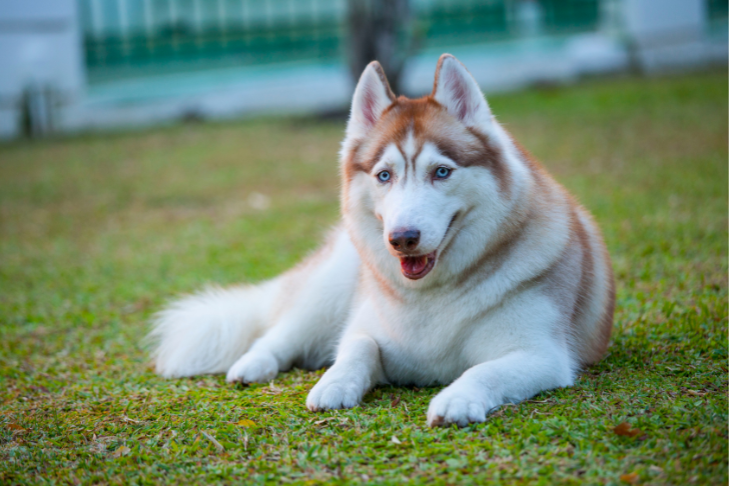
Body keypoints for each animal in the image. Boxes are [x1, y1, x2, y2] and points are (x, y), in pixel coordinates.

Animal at [149, 54, 616, 426]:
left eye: (441, 172)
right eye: (384, 175)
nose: (402, 239)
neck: (432, 296)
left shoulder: (541, 356)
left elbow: (484, 370)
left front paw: (457, 398)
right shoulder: (366, 327)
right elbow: (356, 348)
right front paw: (334, 383)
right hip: (328, 288)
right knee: (279, 334)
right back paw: (252, 365)